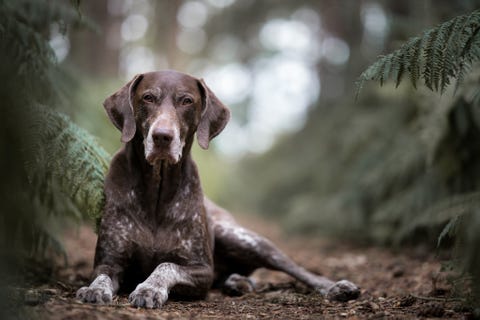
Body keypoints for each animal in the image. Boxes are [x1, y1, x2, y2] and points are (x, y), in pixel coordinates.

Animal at [76, 69, 360, 308]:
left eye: (186, 101)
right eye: (147, 98)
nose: (162, 137)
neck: (157, 188)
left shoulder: (202, 270)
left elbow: (166, 266)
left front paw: (149, 289)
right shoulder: (109, 261)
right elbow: (101, 276)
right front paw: (95, 290)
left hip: (244, 239)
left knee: (296, 268)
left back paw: (335, 286)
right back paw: (237, 282)